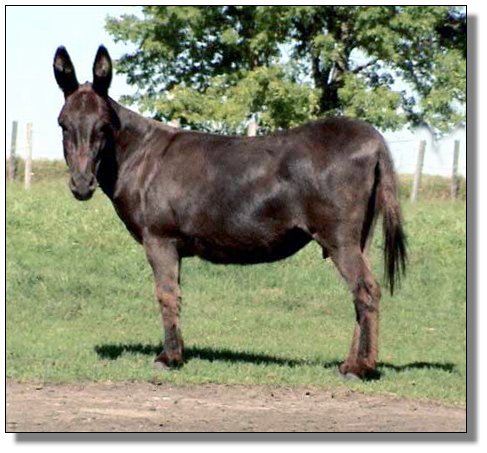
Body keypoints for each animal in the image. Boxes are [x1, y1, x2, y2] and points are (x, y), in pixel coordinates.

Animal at [53, 45, 406, 379]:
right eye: (63, 125)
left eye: (103, 126)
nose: (82, 185)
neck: (139, 158)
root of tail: (373, 139)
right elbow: (175, 294)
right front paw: (178, 353)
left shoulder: (159, 240)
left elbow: (167, 295)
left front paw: (168, 359)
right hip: (359, 237)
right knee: (360, 294)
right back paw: (349, 364)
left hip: (339, 239)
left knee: (366, 291)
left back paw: (361, 369)